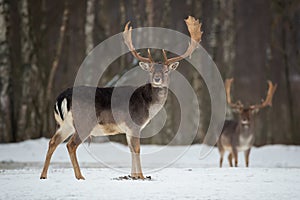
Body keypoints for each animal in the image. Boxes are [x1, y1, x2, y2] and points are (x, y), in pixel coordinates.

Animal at [39, 16, 203, 180]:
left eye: (166, 71)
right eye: (150, 70)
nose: (157, 79)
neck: (148, 106)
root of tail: (62, 97)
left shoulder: (128, 130)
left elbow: (131, 149)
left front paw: (133, 175)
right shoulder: (135, 124)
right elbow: (137, 149)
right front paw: (141, 176)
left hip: (64, 124)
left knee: (53, 142)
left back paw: (43, 175)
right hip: (84, 122)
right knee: (71, 145)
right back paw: (80, 176)